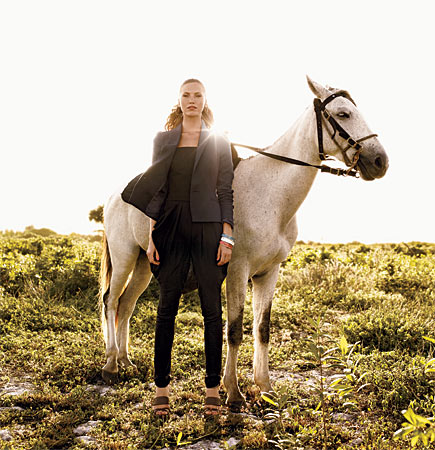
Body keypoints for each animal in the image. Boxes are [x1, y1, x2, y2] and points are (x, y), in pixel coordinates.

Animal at [100, 77, 390, 412]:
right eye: (343, 113)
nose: (380, 161)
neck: (269, 193)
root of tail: (114, 194)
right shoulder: (237, 271)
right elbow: (235, 330)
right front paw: (233, 392)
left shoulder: (269, 273)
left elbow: (262, 329)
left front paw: (265, 387)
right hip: (124, 257)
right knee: (111, 301)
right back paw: (111, 365)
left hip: (145, 264)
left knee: (126, 305)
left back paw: (126, 361)